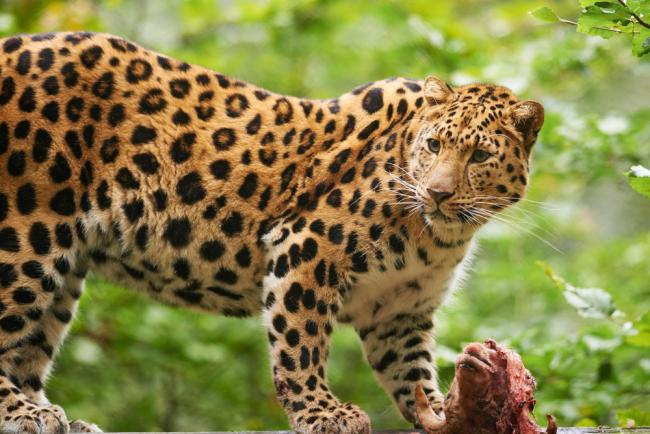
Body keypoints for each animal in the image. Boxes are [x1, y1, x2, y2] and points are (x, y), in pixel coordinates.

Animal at [0, 32, 540, 432]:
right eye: (434, 146)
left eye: (479, 156)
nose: (438, 193)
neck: (436, 237)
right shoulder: (305, 245)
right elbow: (300, 343)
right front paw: (323, 413)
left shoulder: (400, 310)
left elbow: (411, 370)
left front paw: (443, 410)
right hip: (26, 237)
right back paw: (25, 412)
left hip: (62, 268)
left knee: (28, 348)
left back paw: (54, 416)